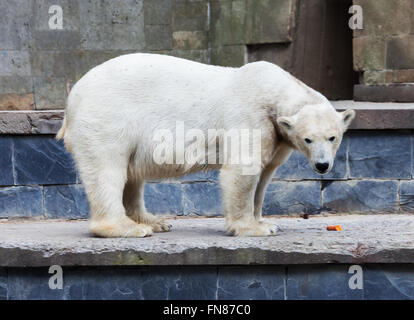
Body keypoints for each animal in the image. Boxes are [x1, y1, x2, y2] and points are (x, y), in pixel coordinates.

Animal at [56, 53, 356, 238]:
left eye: (333, 137)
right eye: (308, 139)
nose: (322, 165)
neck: (272, 91)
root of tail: (72, 97)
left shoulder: (276, 134)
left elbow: (264, 175)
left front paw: (263, 221)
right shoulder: (249, 115)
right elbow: (242, 170)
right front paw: (252, 228)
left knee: (132, 173)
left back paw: (153, 221)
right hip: (107, 117)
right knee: (107, 170)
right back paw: (128, 228)